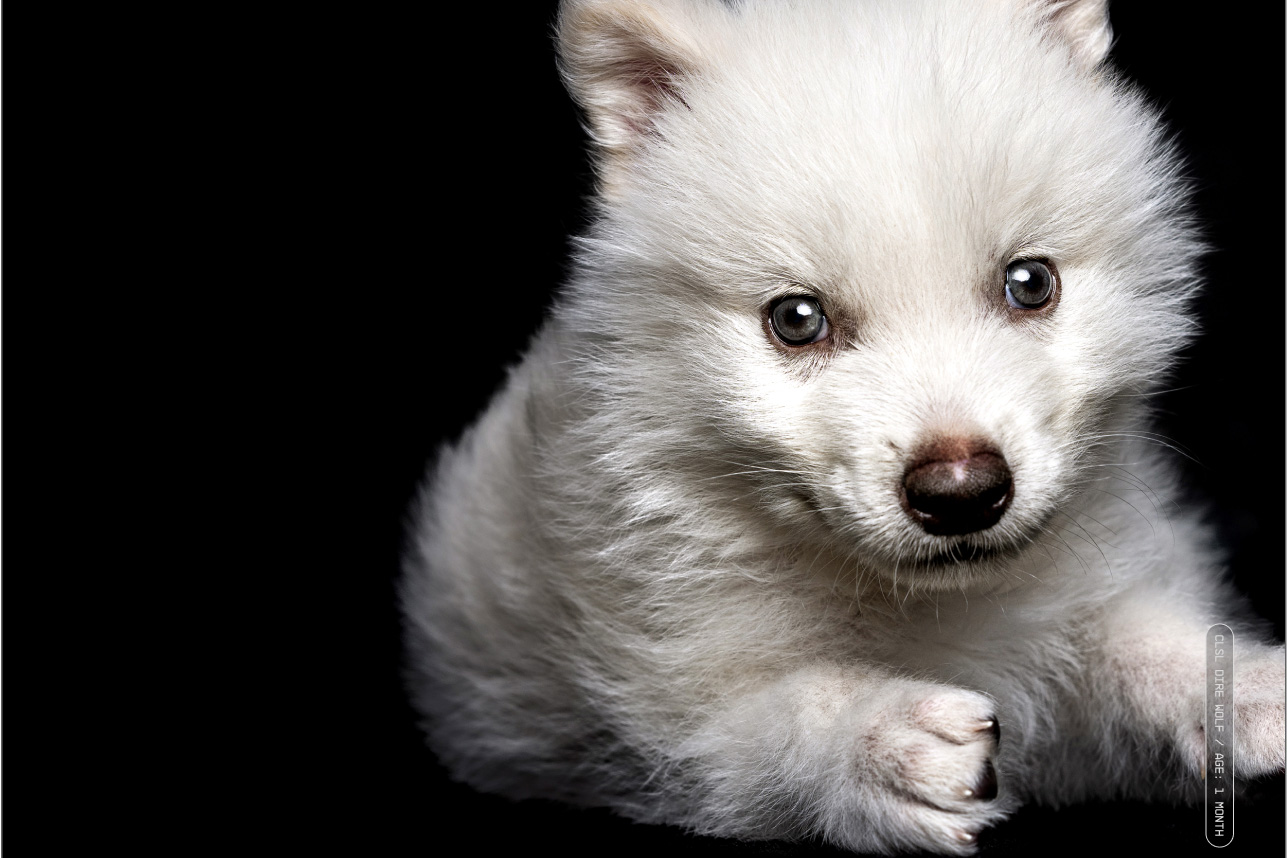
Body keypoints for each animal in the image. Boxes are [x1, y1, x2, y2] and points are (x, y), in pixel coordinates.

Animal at [401, 0, 1285, 853]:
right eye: (797, 320)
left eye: (1029, 283)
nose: (961, 492)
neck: (920, 604)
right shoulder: (662, 714)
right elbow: (778, 716)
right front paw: (880, 742)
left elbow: (1141, 642)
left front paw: (1252, 691)